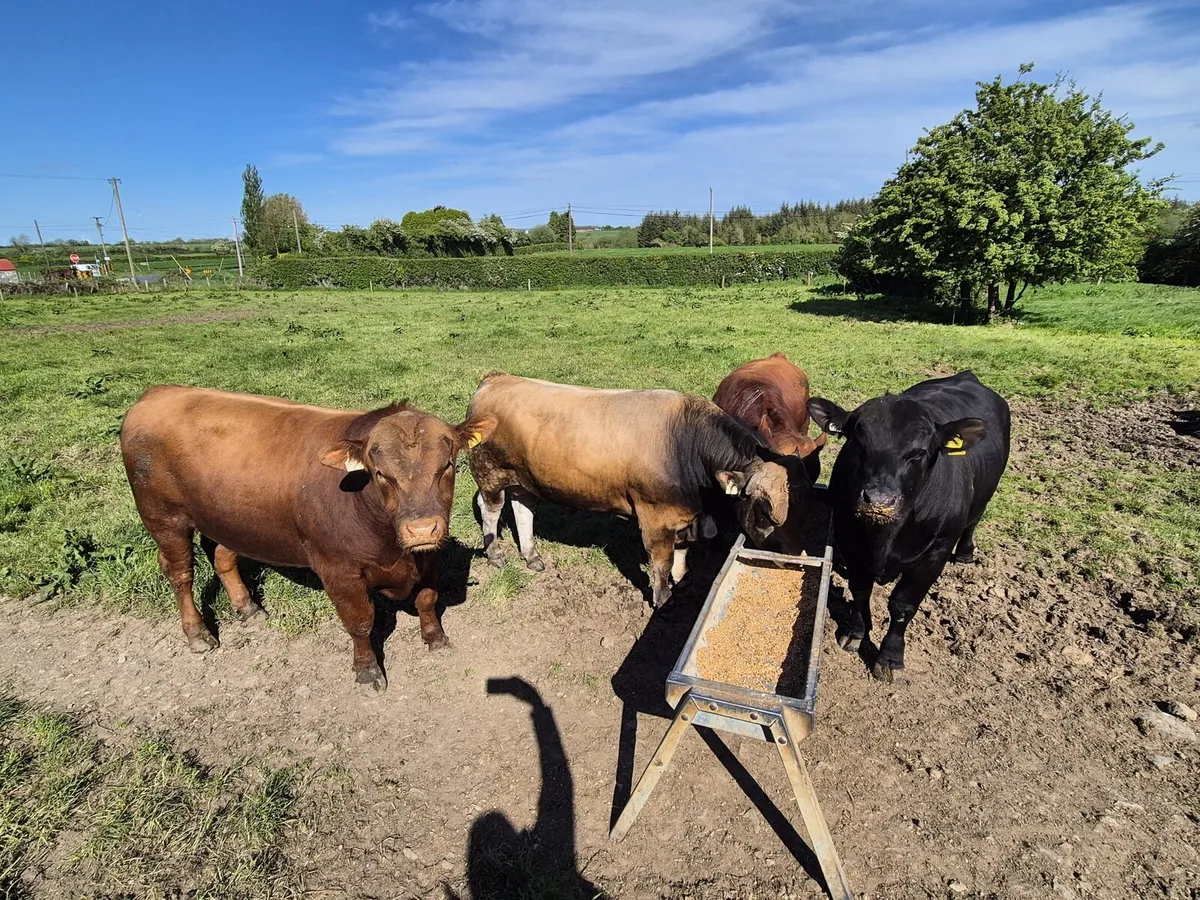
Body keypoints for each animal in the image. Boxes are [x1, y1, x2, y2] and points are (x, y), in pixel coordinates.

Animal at [120, 386, 496, 691]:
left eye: (448, 465)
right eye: (380, 473)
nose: (421, 529)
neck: (392, 547)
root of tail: (157, 393)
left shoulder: (429, 556)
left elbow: (427, 600)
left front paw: (436, 639)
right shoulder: (339, 571)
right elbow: (361, 622)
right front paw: (367, 670)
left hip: (229, 518)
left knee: (222, 556)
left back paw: (248, 608)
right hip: (163, 518)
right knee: (180, 573)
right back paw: (197, 633)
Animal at [466, 373, 790, 609]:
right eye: (764, 512)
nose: (781, 557)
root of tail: (497, 378)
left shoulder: (682, 516)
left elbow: (682, 554)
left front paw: (682, 582)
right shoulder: (656, 518)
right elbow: (662, 562)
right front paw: (663, 599)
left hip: (525, 479)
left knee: (523, 509)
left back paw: (532, 556)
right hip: (490, 472)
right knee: (490, 509)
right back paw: (495, 554)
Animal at [808, 371, 1010, 682]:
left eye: (920, 452)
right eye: (857, 443)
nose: (879, 500)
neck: (884, 537)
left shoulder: (935, 554)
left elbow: (903, 605)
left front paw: (890, 658)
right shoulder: (850, 541)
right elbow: (860, 590)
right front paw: (856, 631)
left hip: (984, 496)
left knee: (973, 521)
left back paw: (966, 553)